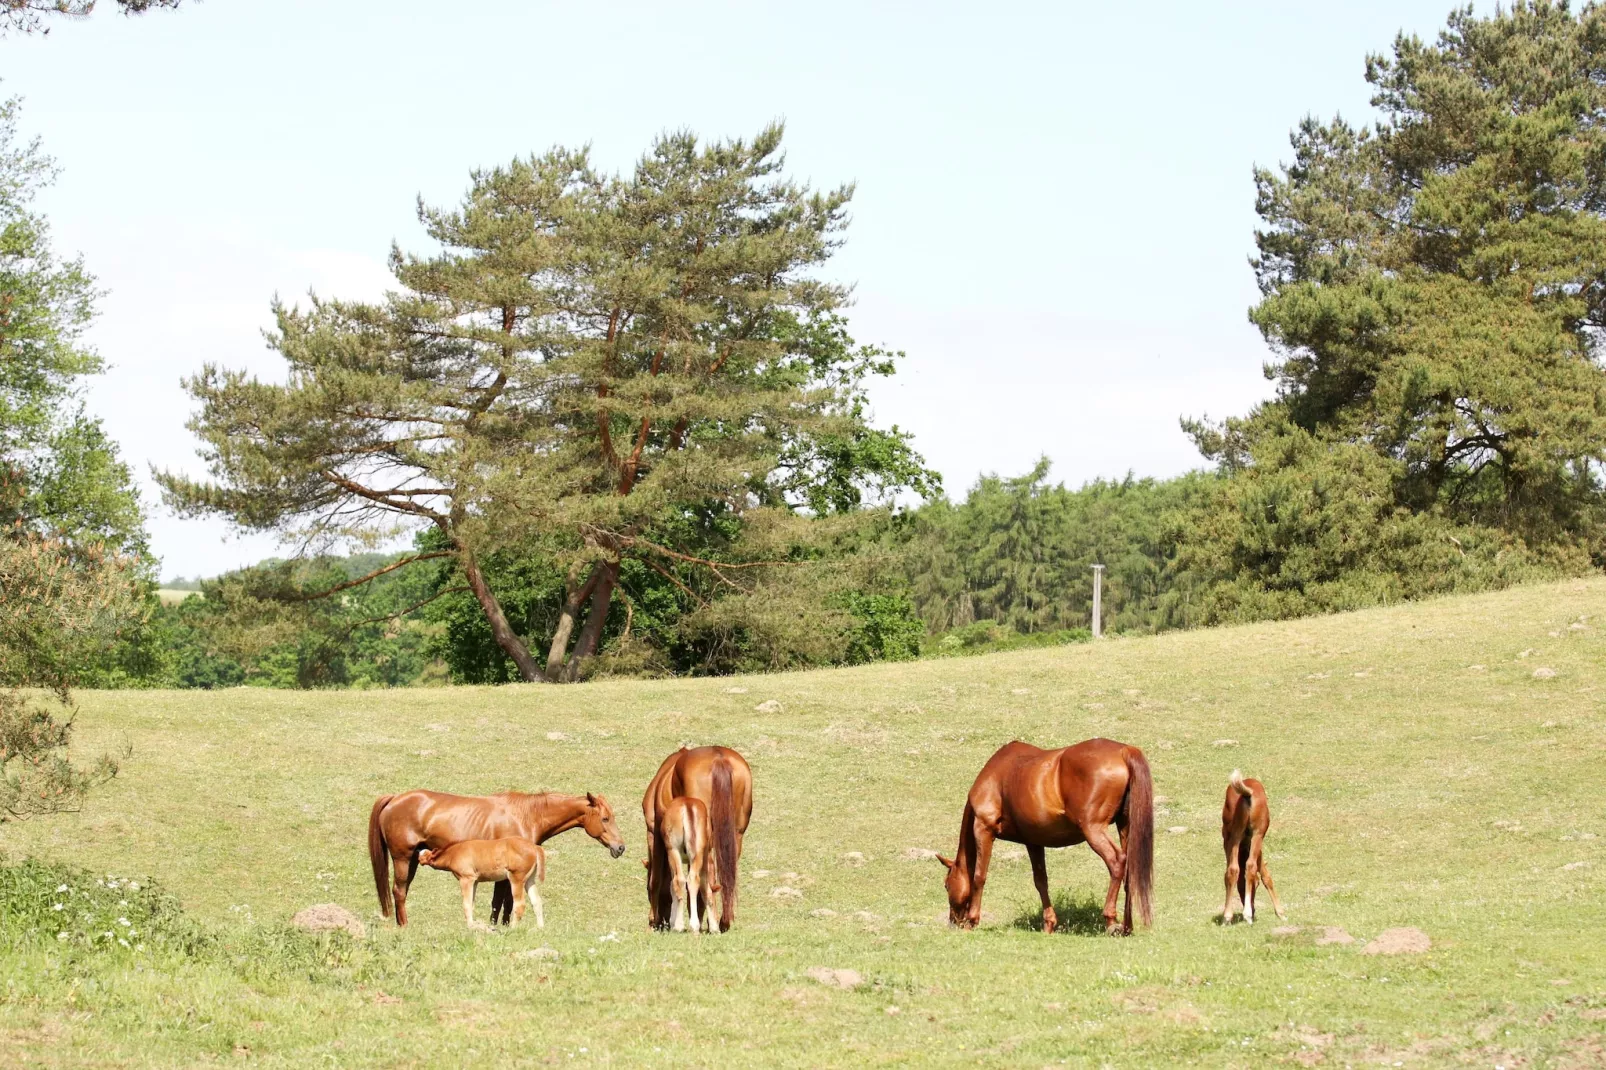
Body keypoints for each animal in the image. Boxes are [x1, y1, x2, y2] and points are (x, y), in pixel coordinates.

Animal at [417, 835, 549, 925]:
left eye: (425, 856)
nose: (418, 856)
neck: (454, 853)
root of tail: (535, 847)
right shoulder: (474, 881)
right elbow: (471, 903)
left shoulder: (466, 879)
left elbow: (466, 904)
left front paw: (470, 926)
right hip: (529, 879)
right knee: (537, 901)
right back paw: (540, 928)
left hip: (516, 878)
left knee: (520, 904)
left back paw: (512, 928)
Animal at [639, 745, 751, 931]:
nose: (662, 920)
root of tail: (719, 758)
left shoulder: (654, 834)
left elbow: (656, 880)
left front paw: (653, 920)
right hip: (735, 835)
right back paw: (722, 922)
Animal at [937, 739, 1156, 931]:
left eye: (946, 885)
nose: (953, 922)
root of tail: (1123, 751)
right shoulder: (1033, 842)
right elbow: (1041, 881)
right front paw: (1049, 924)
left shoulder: (984, 829)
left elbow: (979, 876)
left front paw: (972, 921)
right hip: (1124, 827)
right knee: (1129, 868)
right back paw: (1127, 926)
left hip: (1094, 830)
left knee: (1117, 862)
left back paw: (1110, 920)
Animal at [1220, 761, 1284, 918]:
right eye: (1256, 884)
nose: (1254, 909)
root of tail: (1247, 794)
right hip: (1255, 836)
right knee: (1247, 867)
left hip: (1239, 837)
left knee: (1237, 868)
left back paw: (1233, 914)